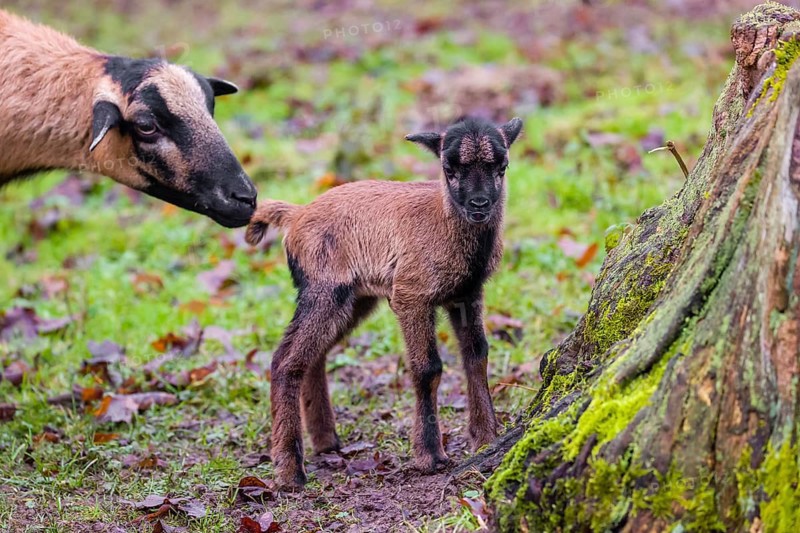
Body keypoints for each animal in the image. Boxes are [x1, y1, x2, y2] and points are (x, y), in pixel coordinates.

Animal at [245, 116, 523, 489]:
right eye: (449, 169)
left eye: (502, 167)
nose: (479, 205)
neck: (443, 221)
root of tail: (296, 214)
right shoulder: (410, 295)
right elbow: (427, 368)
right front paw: (430, 456)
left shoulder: (466, 294)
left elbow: (476, 355)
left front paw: (486, 438)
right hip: (323, 288)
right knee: (284, 360)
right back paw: (290, 470)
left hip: (355, 298)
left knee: (312, 356)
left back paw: (326, 442)